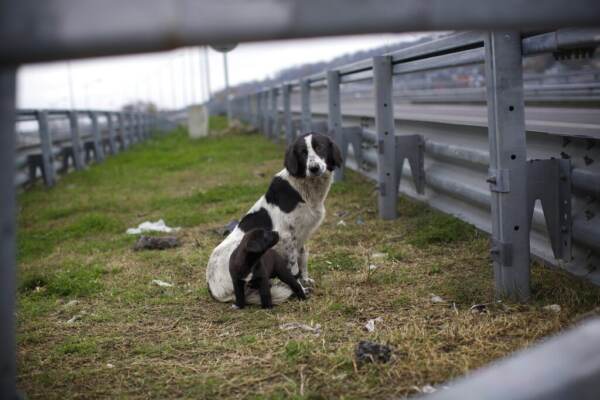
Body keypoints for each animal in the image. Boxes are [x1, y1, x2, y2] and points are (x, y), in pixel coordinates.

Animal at [206, 133, 340, 304]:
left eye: (319, 147)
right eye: (302, 153)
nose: (314, 168)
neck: (303, 188)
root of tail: (213, 289)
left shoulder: (302, 234)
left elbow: (303, 259)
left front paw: (305, 280)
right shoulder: (286, 236)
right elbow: (294, 268)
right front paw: (300, 288)